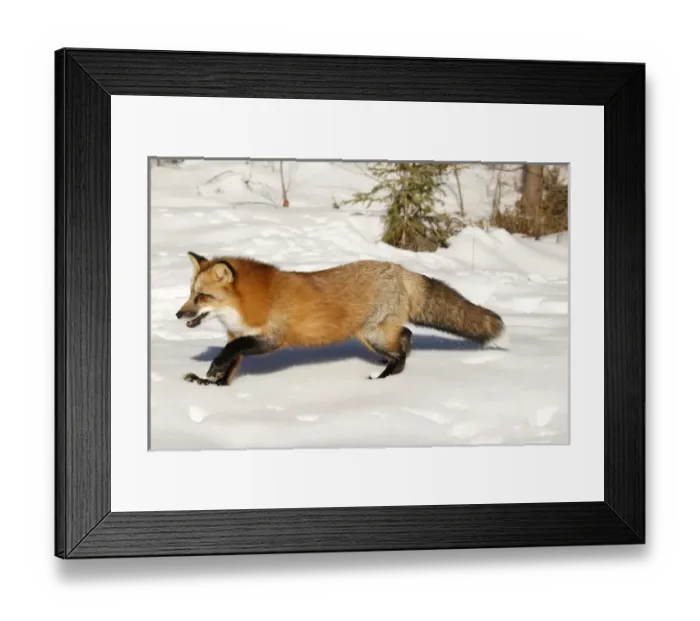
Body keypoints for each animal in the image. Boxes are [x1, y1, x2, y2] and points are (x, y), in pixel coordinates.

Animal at [176, 251, 506, 386]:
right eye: (190, 294)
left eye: (202, 297)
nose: (179, 314)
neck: (245, 306)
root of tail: (400, 268)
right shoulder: (239, 336)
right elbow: (231, 363)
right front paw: (214, 384)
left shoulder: (271, 338)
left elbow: (229, 352)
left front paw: (212, 372)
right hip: (371, 336)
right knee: (407, 336)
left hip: (373, 334)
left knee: (403, 346)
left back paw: (383, 378)